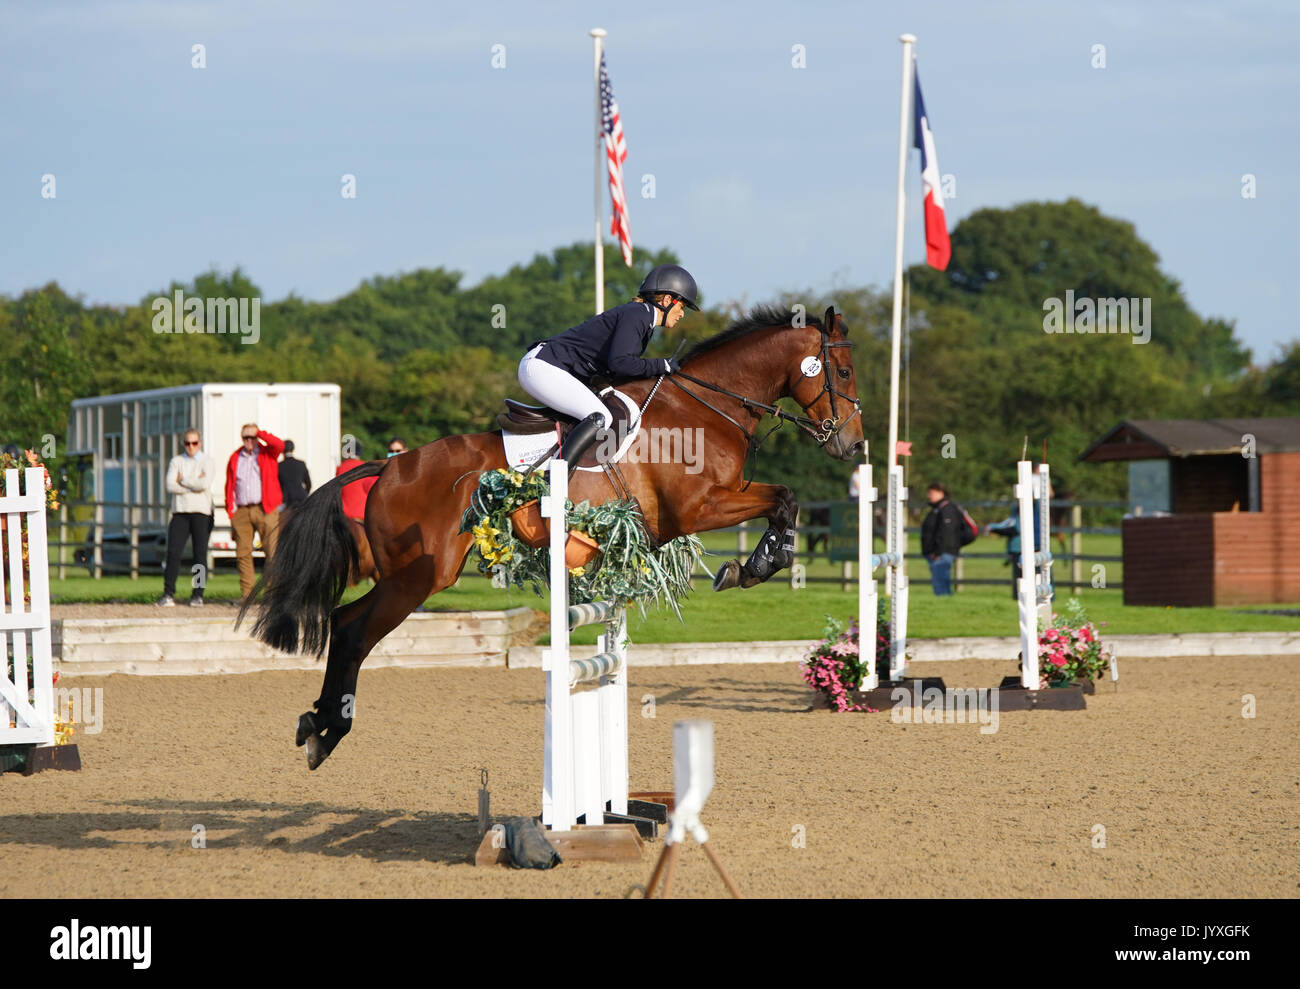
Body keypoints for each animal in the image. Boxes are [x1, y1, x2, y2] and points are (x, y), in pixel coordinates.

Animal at [239, 305, 868, 769]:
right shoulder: (696, 509)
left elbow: (784, 499)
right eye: (842, 373)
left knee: (344, 622)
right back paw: (327, 730)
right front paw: (756, 565)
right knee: (352, 632)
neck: (707, 406)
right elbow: (782, 499)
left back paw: (316, 726)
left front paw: (759, 562)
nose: (854, 445)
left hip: (411, 574)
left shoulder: (717, 500)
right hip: (419, 576)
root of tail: (389, 467)